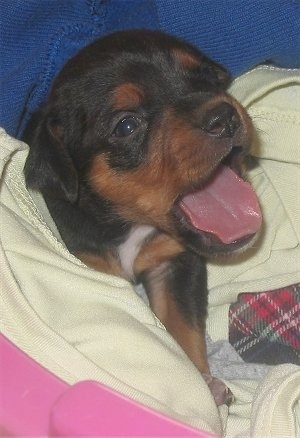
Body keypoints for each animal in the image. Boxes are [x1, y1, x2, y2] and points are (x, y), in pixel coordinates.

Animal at [24, 30, 262, 408]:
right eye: (126, 125)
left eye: (207, 78)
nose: (224, 116)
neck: (128, 227)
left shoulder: (174, 263)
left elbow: (182, 328)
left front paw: (201, 383)